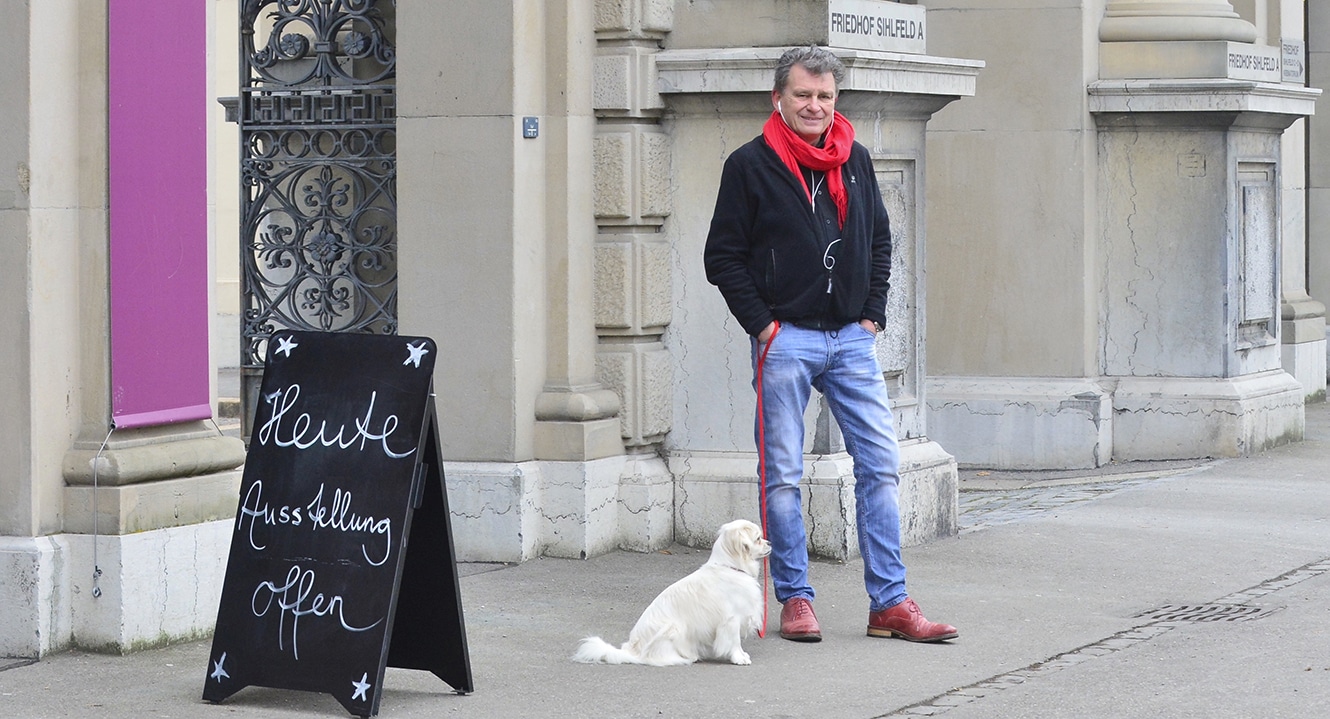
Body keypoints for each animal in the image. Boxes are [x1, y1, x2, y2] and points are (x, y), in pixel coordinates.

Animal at [571, 515, 771, 667]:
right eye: (758, 538)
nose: (770, 542)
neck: (730, 567)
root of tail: (632, 651)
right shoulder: (731, 620)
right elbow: (734, 642)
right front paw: (739, 658)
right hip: (673, 628)